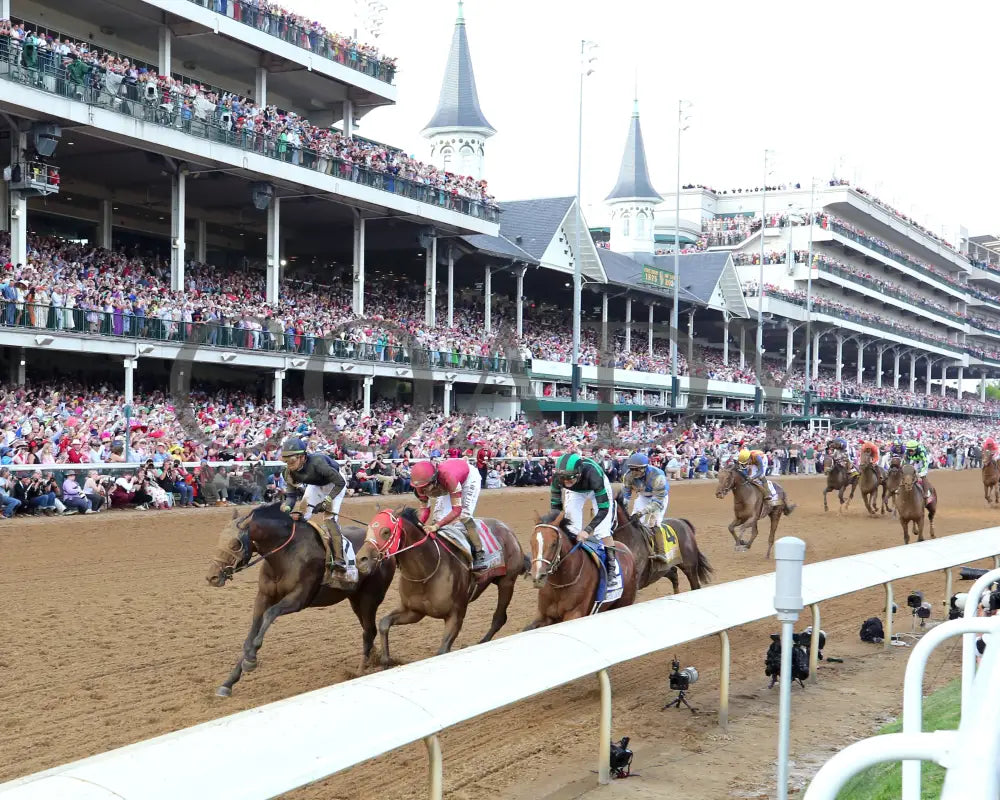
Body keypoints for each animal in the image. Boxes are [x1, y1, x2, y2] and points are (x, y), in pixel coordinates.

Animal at [206, 504, 394, 696]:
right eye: (220, 539)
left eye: (234, 544)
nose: (212, 577)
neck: (285, 555)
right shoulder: (264, 596)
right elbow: (251, 635)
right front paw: (229, 682)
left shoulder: (299, 599)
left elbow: (270, 614)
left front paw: (251, 659)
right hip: (355, 599)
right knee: (368, 629)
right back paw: (372, 659)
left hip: (370, 598)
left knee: (369, 631)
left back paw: (361, 670)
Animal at [354, 510, 528, 664]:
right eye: (368, 529)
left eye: (385, 531)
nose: (360, 559)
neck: (426, 572)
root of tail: (508, 530)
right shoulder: (414, 611)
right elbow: (384, 623)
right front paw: (387, 660)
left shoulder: (456, 614)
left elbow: (442, 651)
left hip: (507, 582)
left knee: (499, 617)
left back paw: (482, 642)